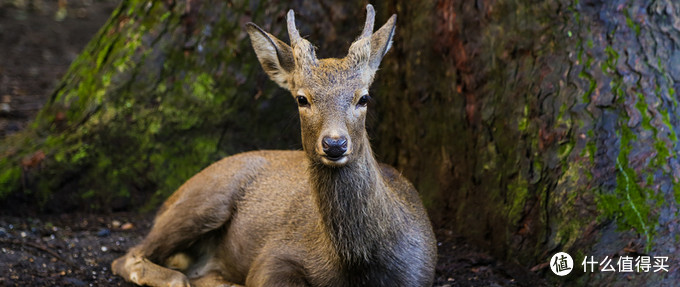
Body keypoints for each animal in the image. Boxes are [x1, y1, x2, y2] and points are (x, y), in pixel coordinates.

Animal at [111, 4, 436, 287]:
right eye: (302, 98)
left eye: (364, 97)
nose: (334, 143)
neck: (356, 266)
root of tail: (169, 200)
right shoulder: (275, 254)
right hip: (205, 199)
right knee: (132, 258)